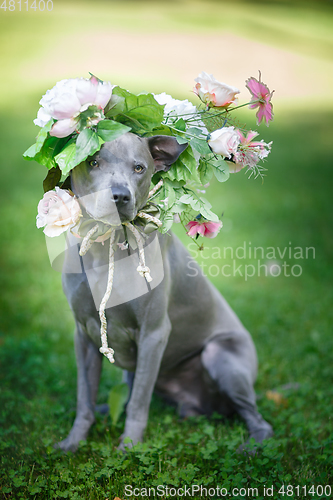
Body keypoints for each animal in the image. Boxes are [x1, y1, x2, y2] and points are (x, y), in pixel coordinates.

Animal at [55, 133, 272, 454]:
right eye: (93, 162)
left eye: (139, 168)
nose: (119, 196)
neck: (106, 248)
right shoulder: (84, 334)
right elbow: (85, 397)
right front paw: (73, 442)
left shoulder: (154, 333)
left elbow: (139, 402)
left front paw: (129, 447)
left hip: (221, 357)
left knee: (257, 417)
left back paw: (252, 444)